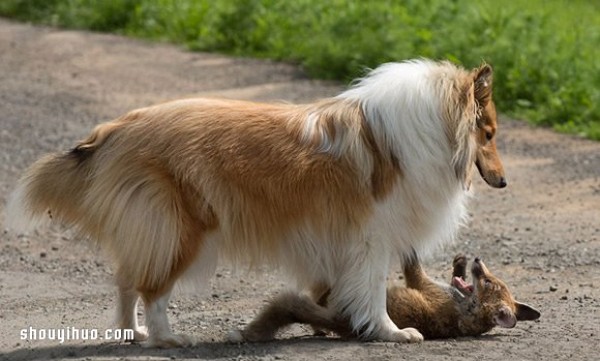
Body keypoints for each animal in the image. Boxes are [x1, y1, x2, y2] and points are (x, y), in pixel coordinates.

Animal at [8, 59, 506, 346]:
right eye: (489, 133)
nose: (503, 182)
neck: (433, 125)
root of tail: (114, 129)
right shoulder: (370, 238)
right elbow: (371, 293)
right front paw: (391, 333)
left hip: (153, 227)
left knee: (129, 280)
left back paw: (135, 333)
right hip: (183, 227)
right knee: (152, 288)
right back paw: (169, 339)